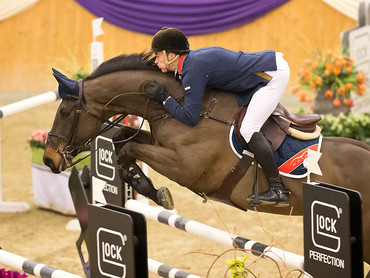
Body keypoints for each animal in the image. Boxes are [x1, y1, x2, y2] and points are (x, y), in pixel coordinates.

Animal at [44, 52, 370, 268]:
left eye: (64, 112)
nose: (48, 160)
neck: (184, 108)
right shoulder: (162, 145)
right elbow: (124, 139)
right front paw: (146, 186)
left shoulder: (186, 167)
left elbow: (128, 148)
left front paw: (153, 190)